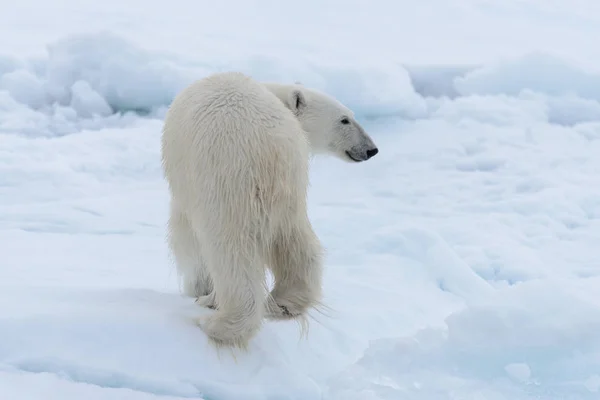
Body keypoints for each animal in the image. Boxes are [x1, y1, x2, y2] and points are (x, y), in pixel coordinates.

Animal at [159, 72, 376, 350]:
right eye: (345, 119)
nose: (371, 149)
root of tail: (269, 146)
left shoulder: (187, 185)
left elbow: (186, 238)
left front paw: (198, 289)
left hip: (224, 179)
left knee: (230, 250)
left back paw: (220, 321)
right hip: (290, 183)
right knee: (297, 240)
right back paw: (286, 303)